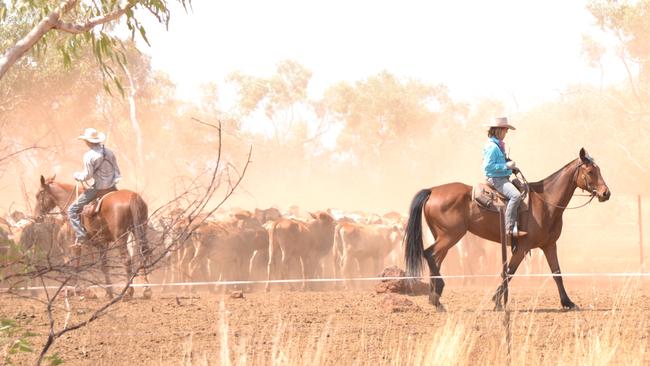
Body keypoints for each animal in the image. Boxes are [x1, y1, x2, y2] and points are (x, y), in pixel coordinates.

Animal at [402, 149, 612, 312]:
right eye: (590, 171)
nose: (606, 193)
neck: (545, 203)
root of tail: (432, 191)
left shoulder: (549, 245)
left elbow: (557, 273)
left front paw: (568, 302)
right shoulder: (523, 247)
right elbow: (509, 272)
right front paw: (497, 302)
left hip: (443, 237)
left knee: (435, 259)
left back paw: (435, 299)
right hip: (450, 236)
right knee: (430, 254)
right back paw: (437, 295)